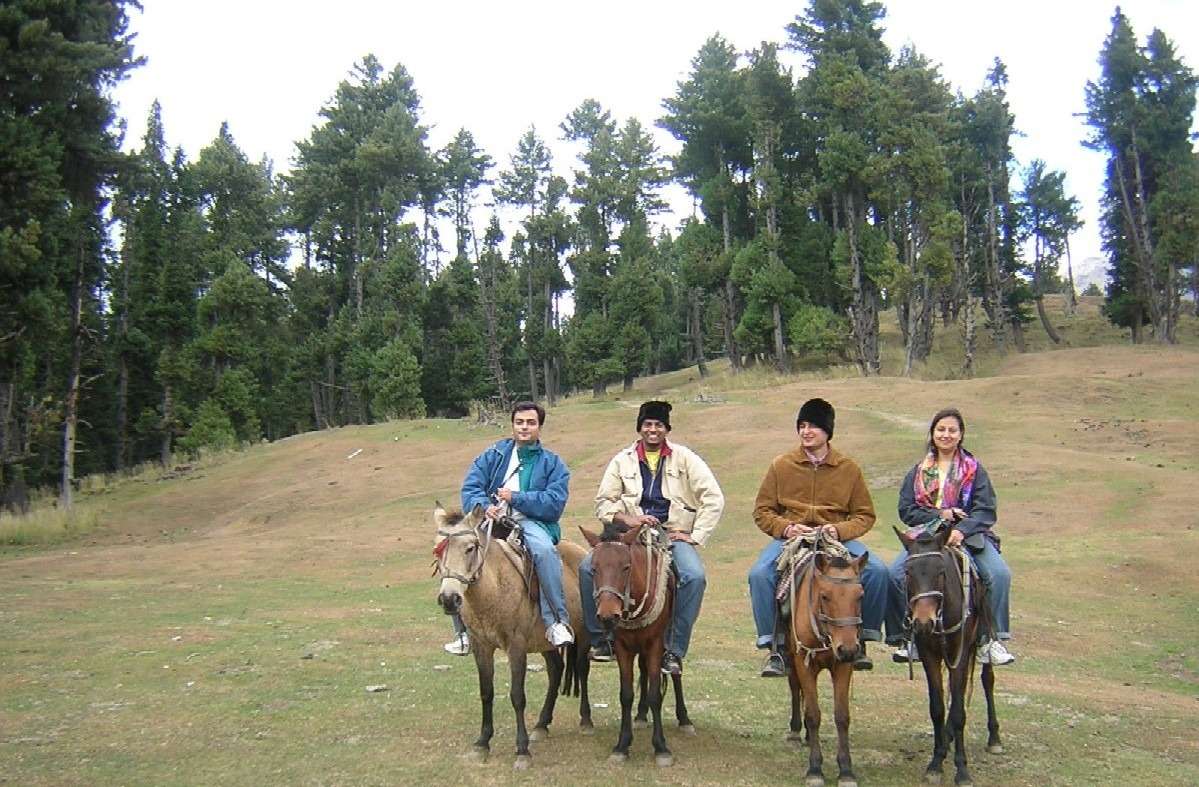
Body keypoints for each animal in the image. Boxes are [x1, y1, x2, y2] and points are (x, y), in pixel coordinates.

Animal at [433, 504, 592, 769]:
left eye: (470, 548)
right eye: (437, 550)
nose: (449, 599)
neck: (493, 590)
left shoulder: (516, 646)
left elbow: (517, 696)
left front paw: (522, 750)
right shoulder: (481, 646)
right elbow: (486, 692)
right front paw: (482, 743)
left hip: (584, 634)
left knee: (581, 669)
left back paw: (586, 720)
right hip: (545, 642)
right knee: (556, 670)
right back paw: (541, 724)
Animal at [579, 521, 689, 768]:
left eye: (626, 567)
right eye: (594, 568)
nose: (608, 615)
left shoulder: (656, 645)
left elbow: (655, 694)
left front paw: (661, 747)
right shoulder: (623, 648)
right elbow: (626, 694)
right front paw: (622, 745)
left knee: (675, 674)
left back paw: (685, 718)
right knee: (644, 671)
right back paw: (640, 715)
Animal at [779, 540, 868, 787]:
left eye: (860, 596)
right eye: (825, 596)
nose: (847, 650)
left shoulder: (843, 666)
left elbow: (842, 716)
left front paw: (846, 770)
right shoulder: (804, 663)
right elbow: (813, 715)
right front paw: (815, 769)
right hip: (792, 657)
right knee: (795, 689)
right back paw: (795, 731)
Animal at [896, 526, 1002, 786]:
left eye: (941, 571)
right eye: (908, 572)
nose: (924, 622)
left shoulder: (959, 654)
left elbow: (958, 712)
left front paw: (962, 770)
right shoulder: (929, 654)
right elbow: (938, 707)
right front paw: (936, 762)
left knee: (987, 681)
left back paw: (994, 738)